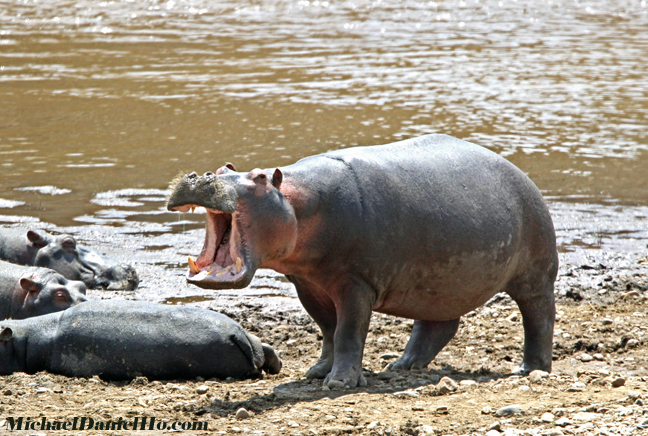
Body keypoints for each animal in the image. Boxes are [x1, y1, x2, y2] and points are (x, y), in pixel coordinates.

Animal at [166, 133, 556, 388]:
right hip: (438, 283)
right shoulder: (308, 284)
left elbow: (348, 332)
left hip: (535, 274)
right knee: (438, 324)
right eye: (221, 170)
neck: (298, 202)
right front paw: (316, 372)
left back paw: (531, 370)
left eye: (260, 178)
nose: (202, 175)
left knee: (538, 318)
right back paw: (402, 365)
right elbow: (327, 329)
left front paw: (338, 383)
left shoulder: (355, 284)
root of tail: (521, 174)